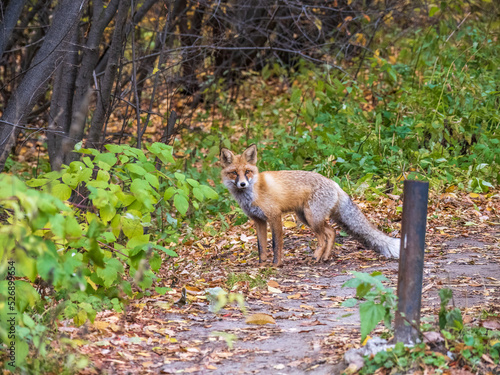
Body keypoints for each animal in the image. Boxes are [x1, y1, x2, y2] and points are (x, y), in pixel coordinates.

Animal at [221, 145, 400, 268]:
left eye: (247, 171)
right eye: (234, 173)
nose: (242, 184)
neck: (252, 193)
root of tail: (335, 184)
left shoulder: (274, 216)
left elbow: (276, 245)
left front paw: (276, 265)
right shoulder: (258, 221)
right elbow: (261, 247)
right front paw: (261, 265)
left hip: (311, 218)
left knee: (323, 237)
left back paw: (316, 256)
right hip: (307, 218)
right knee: (331, 232)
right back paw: (325, 257)